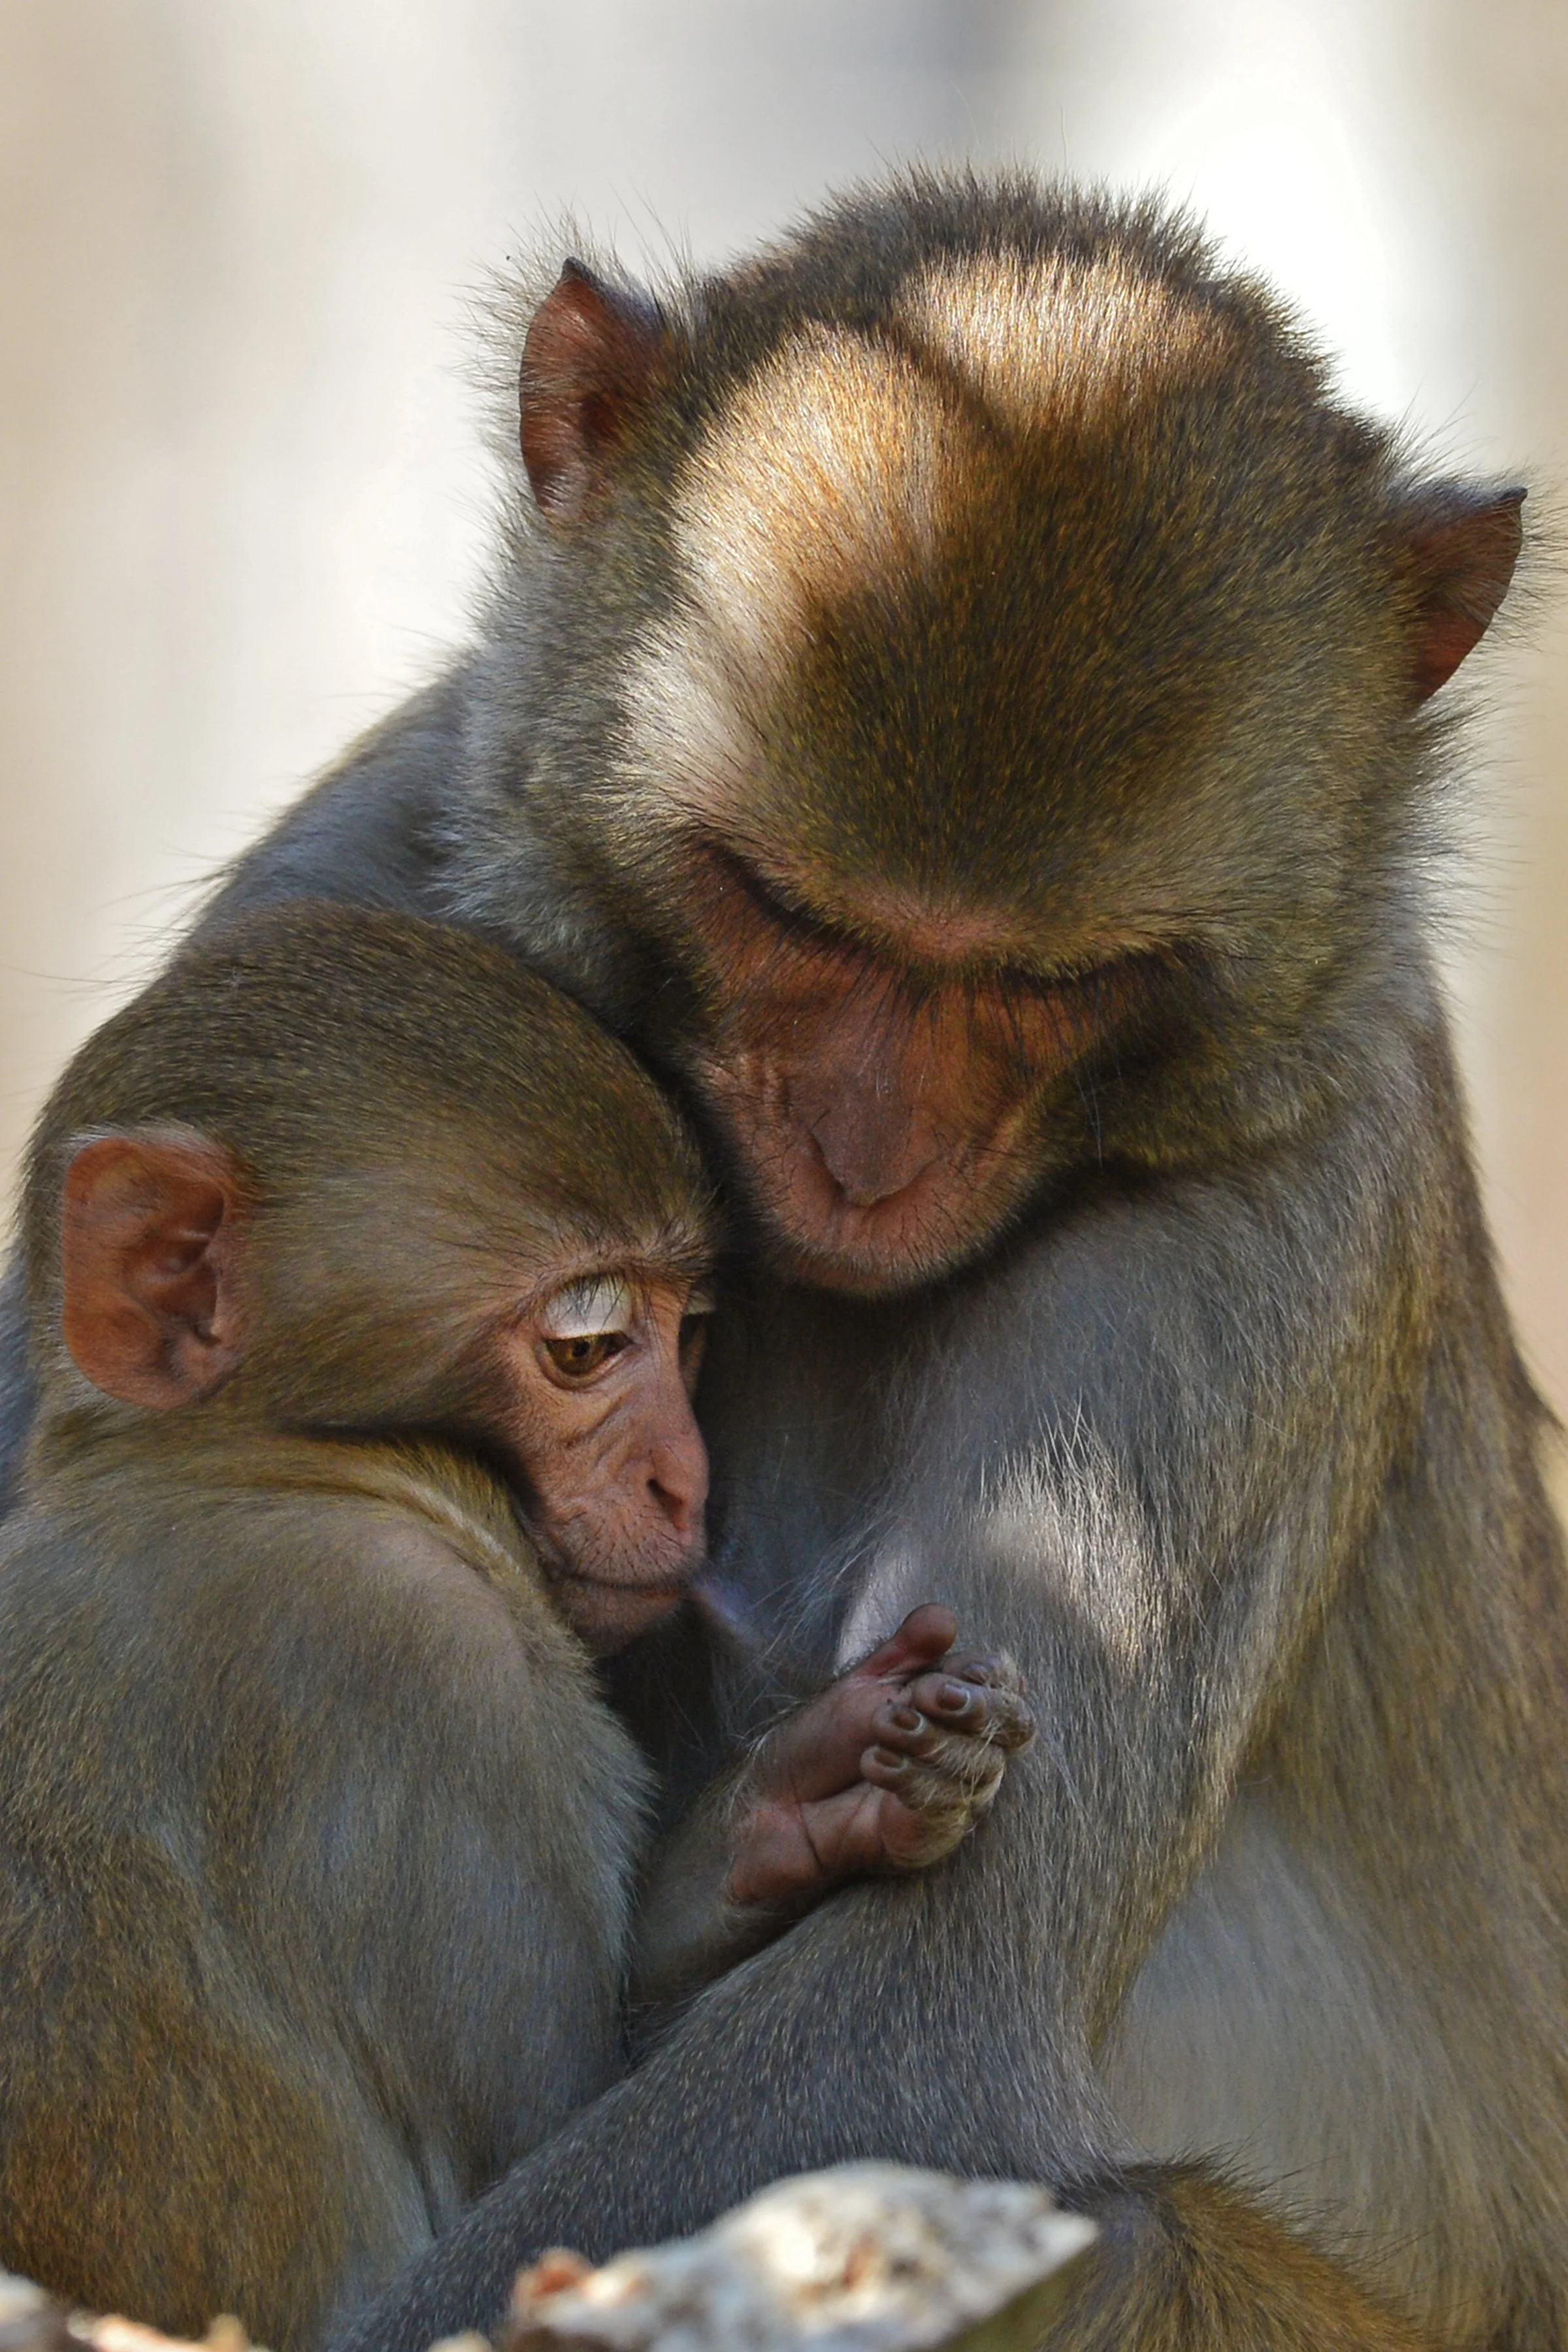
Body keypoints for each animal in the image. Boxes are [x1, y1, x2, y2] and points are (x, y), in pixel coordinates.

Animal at [0, 898, 1033, 2352]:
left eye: (686, 1332)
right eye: (588, 1350)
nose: (684, 1482)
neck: (231, 1465)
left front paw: (810, 1797)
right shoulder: (419, 1656)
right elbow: (533, 2156)